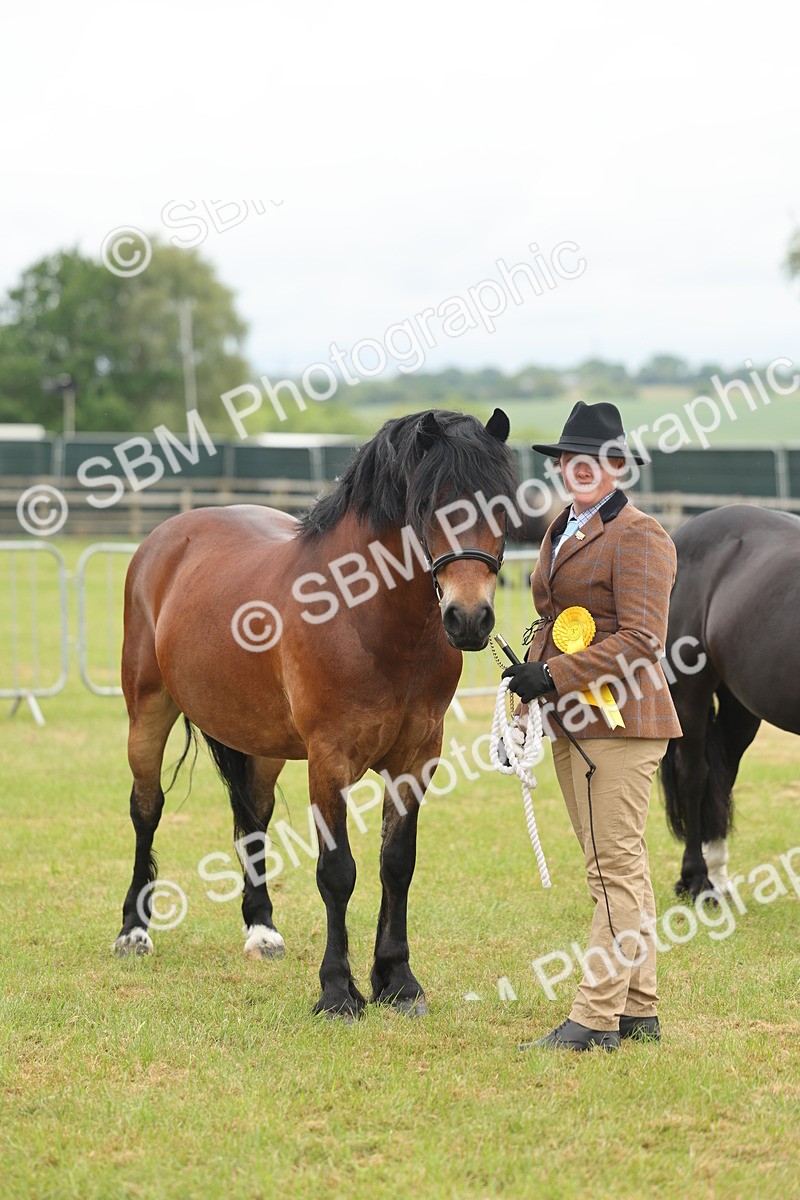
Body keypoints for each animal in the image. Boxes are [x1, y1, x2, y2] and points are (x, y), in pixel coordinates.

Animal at [114, 407, 516, 1019]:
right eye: (428, 505)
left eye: (502, 503)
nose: (469, 619)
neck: (367, 618)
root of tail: (164, 539)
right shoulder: (330, 759)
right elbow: (337, 872)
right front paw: (338, 991)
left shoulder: (417, 757)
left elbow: (396, 864)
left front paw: (397, 981)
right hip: (148, 711)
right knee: (146, 809)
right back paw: (134, 932)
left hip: (260, 743)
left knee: (252, 818)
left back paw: (262, 932)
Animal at [661, 504, 800, 898]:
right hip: (689, 693)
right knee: (695, 776)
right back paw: (696, 879)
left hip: (740, 705)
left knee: (722, 777)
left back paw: (718, 876)